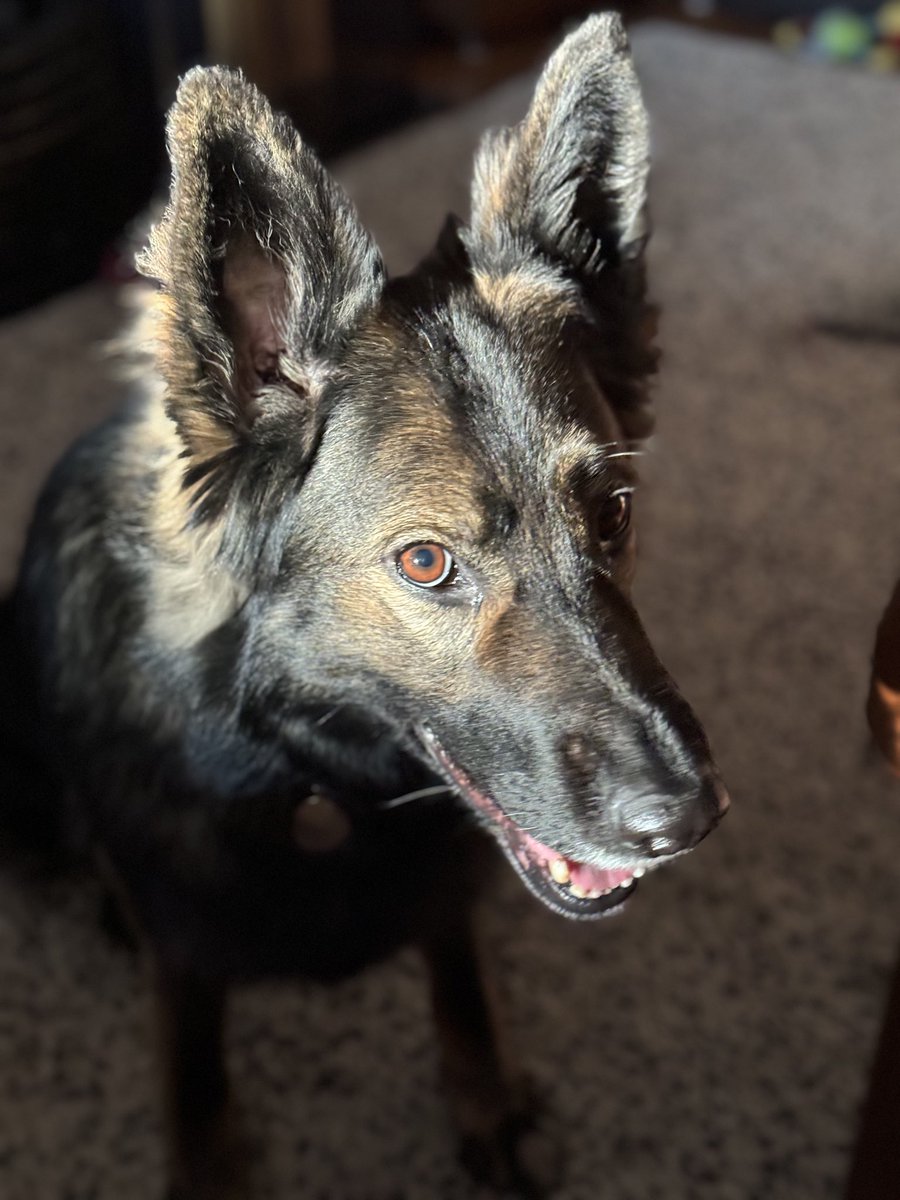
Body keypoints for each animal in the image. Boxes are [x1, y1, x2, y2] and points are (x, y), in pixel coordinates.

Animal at [5, 11, 724, 1200]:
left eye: (613, 510)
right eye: (426, 563)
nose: (686, 821)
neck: (308, 772)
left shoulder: (443, 901)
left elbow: (461, 987)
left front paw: (489, 1107)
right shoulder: (184, 955)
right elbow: (196, 1087)